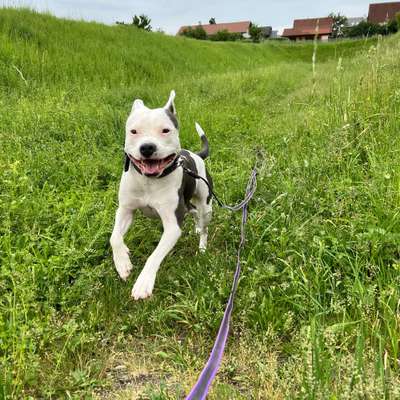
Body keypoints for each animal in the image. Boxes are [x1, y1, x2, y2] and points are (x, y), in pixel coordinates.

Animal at [110, 89, 212, 298]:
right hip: (187, 205)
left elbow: (154, 255)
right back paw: (197, 227)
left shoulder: (173, 225)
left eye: (165, 130)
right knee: (193, 212)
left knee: (204, 225)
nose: (147, 147)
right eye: (133, 131)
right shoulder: (125, 210)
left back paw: (202, 246)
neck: (149, 181)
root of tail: (197, 155)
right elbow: (114, 238)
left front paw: (143, 283)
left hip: (206, 206)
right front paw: (123, 262)